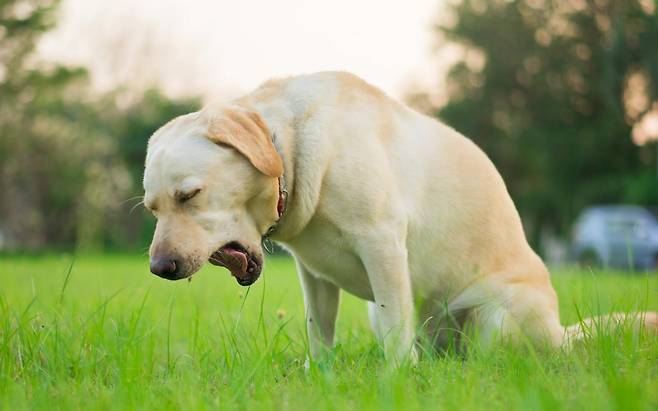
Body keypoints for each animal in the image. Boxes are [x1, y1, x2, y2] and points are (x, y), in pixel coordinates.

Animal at [143, 71, 656, 363]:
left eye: (189, 195)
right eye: (152, 207)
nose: (160, 268)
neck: (288, 147)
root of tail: (561, 336)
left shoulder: (382, 244)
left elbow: (394, 335)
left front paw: (394, 381)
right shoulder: (314, 275)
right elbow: (319, 332)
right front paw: (320, 377)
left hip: (496, 318)